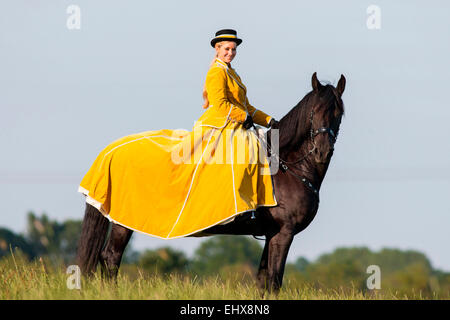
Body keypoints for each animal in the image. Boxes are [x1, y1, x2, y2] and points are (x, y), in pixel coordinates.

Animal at [75, 72, 346, 292]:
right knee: (111, 258)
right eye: (313, 112)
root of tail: (111, 151)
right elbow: (274, 281)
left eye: (339, 113)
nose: (322, 152)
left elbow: (262, 281)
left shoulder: (271, 234)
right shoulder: (283, 233)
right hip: (123, 220)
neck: (285, 165)